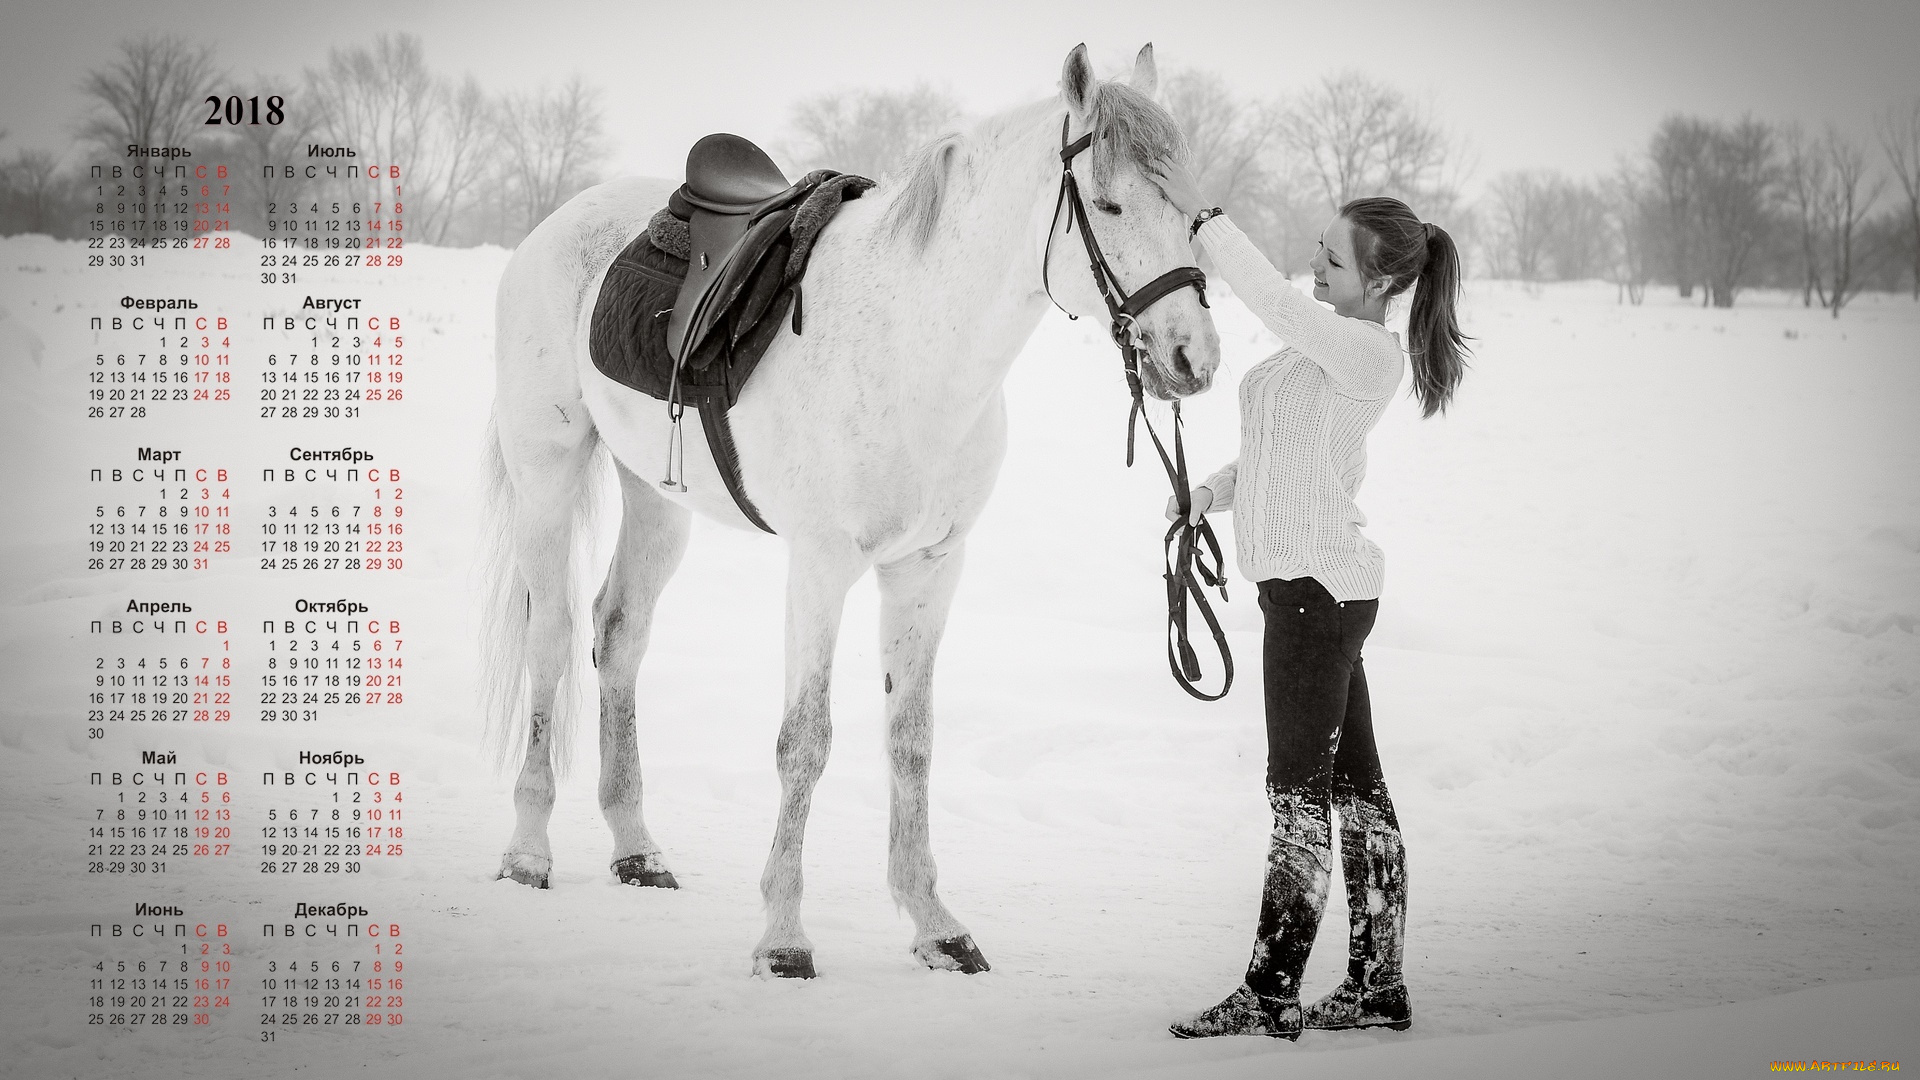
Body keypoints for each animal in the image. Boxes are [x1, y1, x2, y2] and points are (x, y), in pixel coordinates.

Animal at [487, 42, 1221, 972]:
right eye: (1110, 202)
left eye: (1192, 212)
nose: (1194, 359)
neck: (914, 347)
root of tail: (561, 221)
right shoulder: (820, 567)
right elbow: (805, 741)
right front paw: (783, 938)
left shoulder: (929, 570)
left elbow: (912, 740)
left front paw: (935, 924)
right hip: (546, 472)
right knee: (549, 640)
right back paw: (526, 850)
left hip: (657, 500)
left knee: (617, 635)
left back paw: (637, 849)